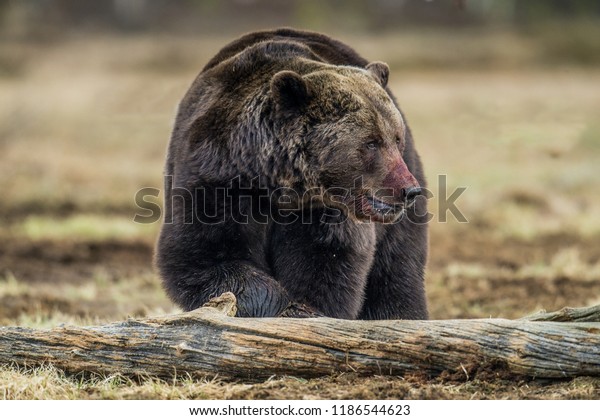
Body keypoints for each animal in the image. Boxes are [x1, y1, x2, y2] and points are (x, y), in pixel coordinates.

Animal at [155, 28, 426, 318]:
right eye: (371, 143)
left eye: (396, 138)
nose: (409, 189)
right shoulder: (215, 175)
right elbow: (204, 254)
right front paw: (274, 304)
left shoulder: (323, 207)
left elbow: (327, 261)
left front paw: (305, 309)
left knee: (396, 271)